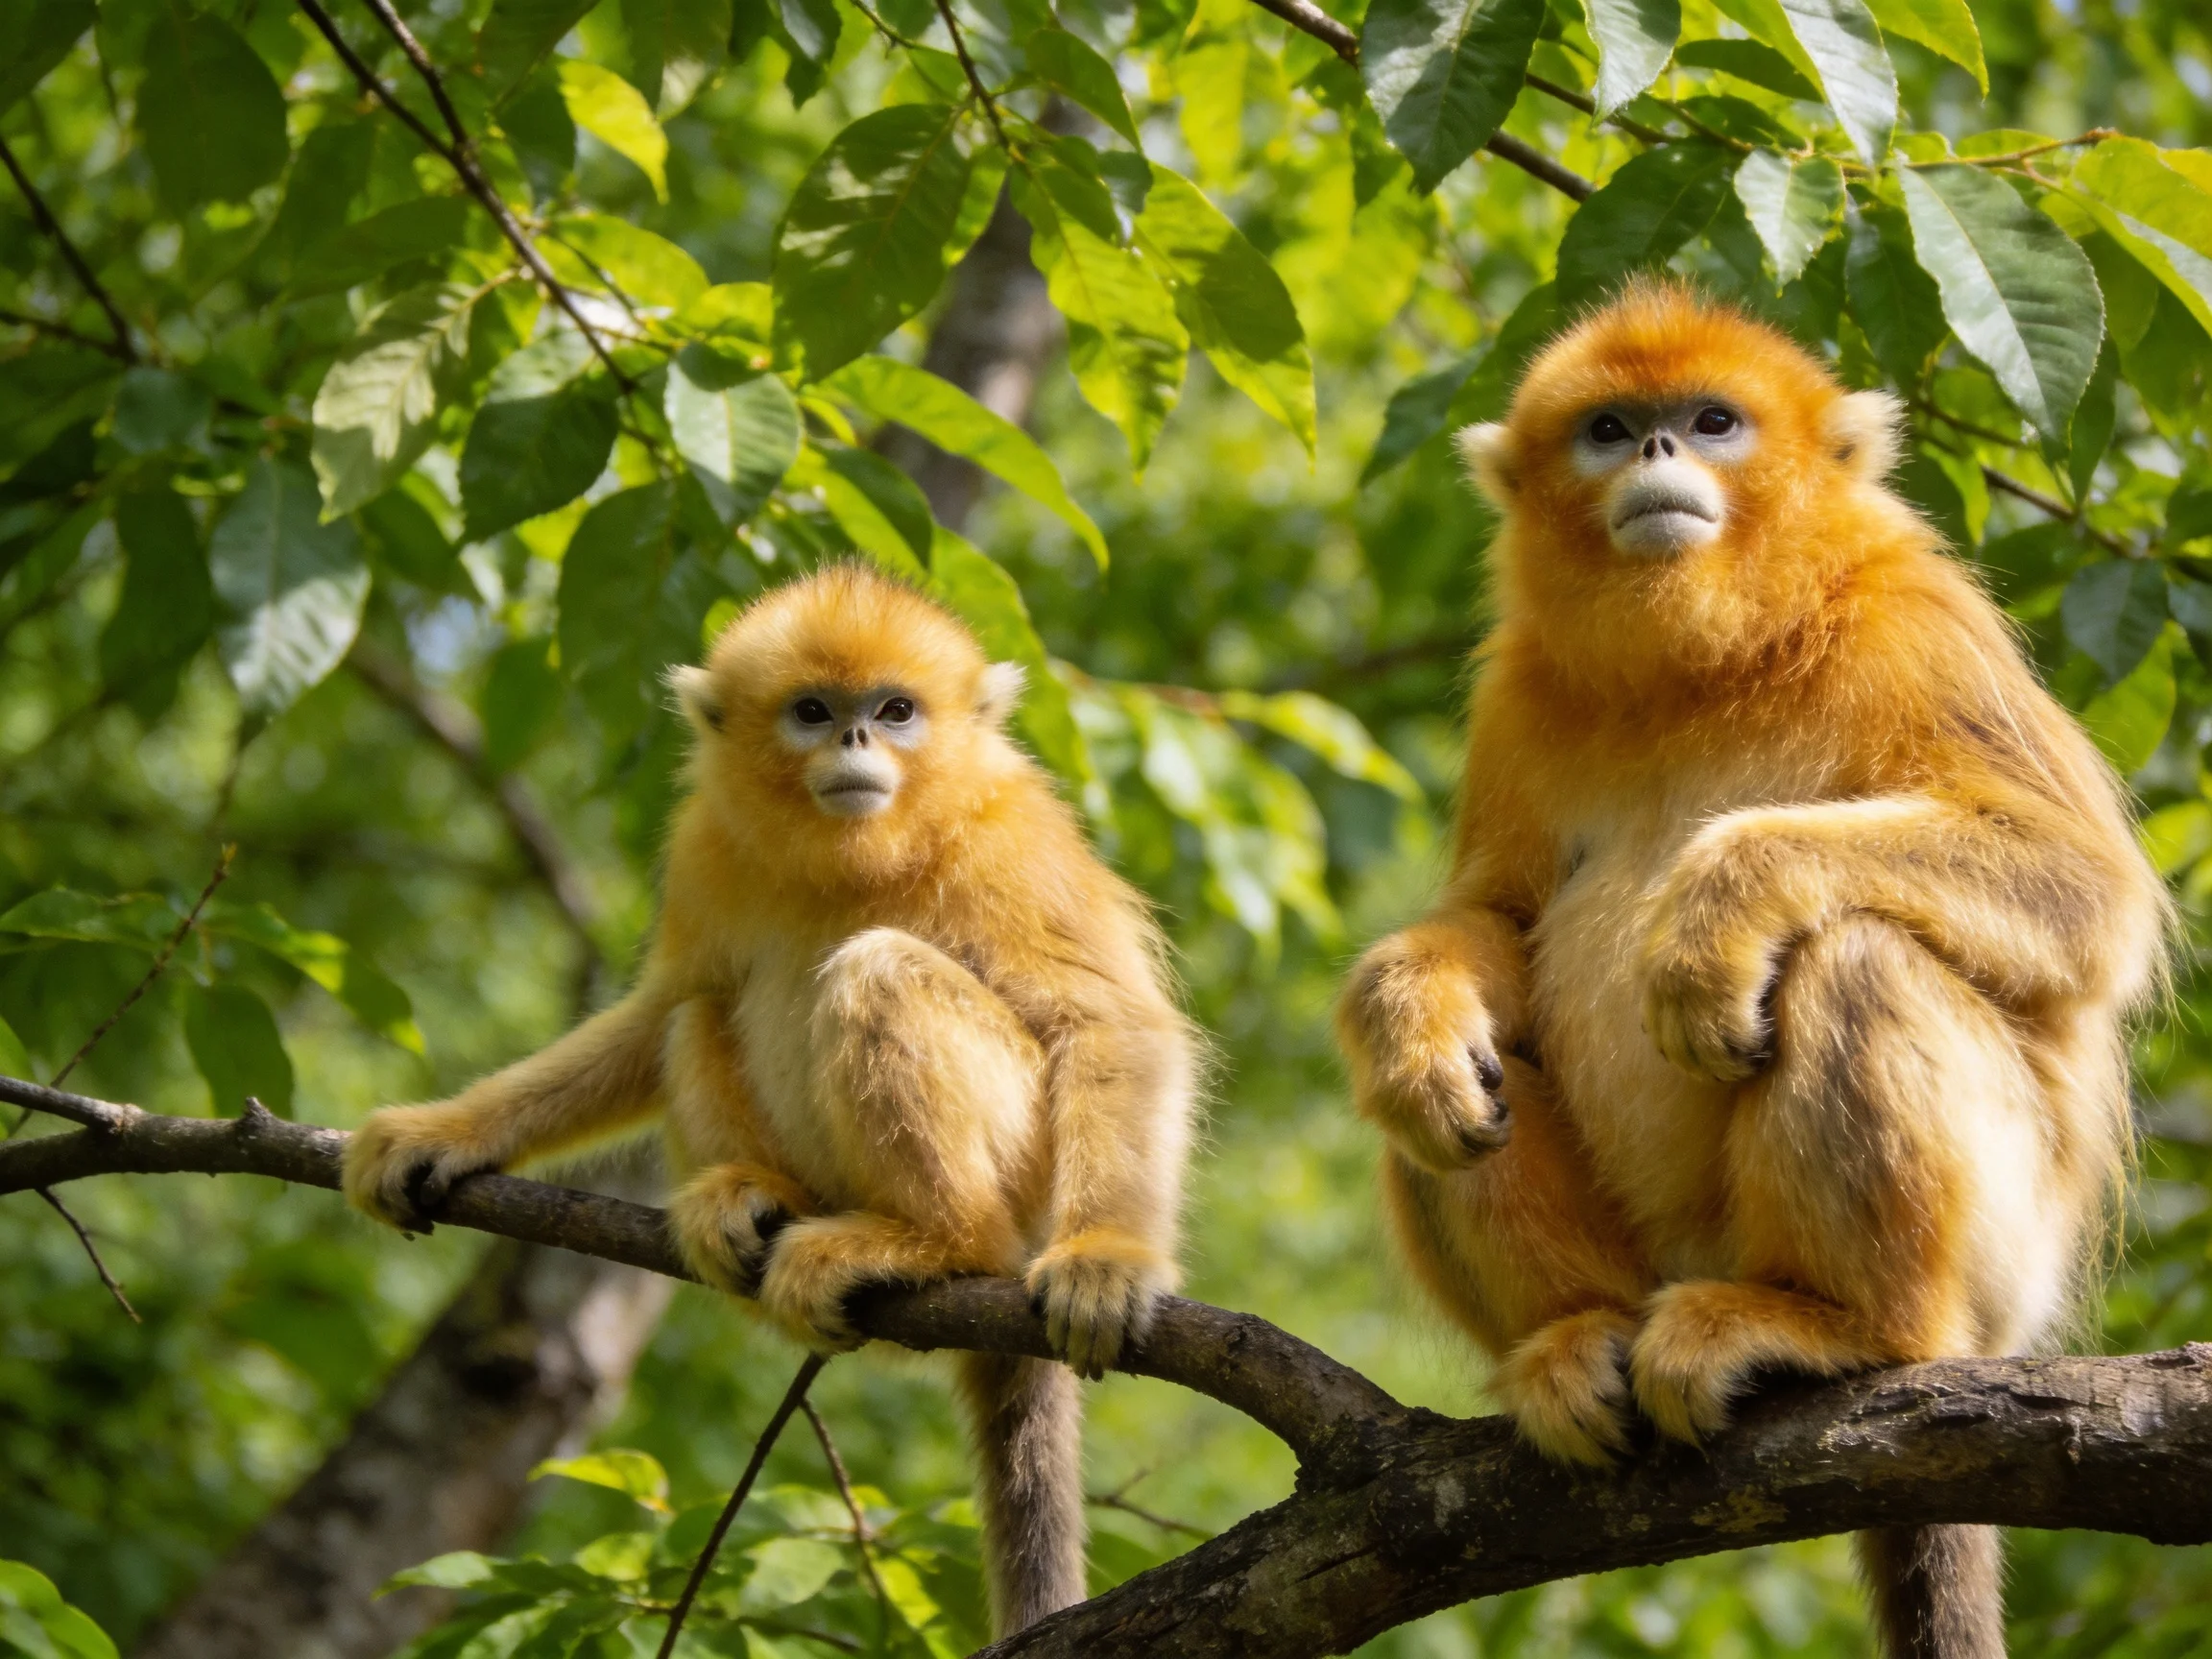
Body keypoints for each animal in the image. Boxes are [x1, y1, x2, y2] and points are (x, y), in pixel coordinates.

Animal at [343, 563, 1199, 1637]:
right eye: (812, 712)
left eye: (896, 710)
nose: (856, 742)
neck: (862, 848)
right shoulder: (707, 843)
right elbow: (658, 1009)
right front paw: (441, 1133)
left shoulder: (1014, 838)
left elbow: (1106, 1026)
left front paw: (1106, 1259)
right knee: (695, 1014)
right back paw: (751, 1197)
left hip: (1027, 1175)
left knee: (878, 973)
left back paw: (937, 1244)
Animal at [1336, 281, 2166, 1659]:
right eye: (1610, 430)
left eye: (1713, 421)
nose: (1661, 451)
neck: (1709, 661)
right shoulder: (1517, 691)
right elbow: (1499, 924)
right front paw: (1409, 1015)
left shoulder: (1917, 622)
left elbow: (2083, 891)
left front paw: (1717, 911)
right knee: (1453, 1096)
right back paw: (1567, 1332)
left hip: (2003, 1268)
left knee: (1857, 958)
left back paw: (1836, 1329)